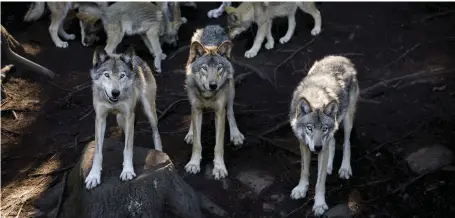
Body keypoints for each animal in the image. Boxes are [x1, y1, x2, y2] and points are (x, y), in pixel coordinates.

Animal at [85, 46, 164, 189]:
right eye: (107, 75)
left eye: (122, 76)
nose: (115, 92)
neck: (112, 102)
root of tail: (136, 58)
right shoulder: (100, 118)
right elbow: (98, 152)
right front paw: (94, 176)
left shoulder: (129, 116)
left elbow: (127, 149)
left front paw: (127, 171)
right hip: (120, 119)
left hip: (149, 111)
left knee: (155, 132)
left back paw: (159, 152)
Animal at [183, 24, 246, 180]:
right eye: (204, 68)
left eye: (219, 68)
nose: (213, 85)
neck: (207, 96)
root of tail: (212, 26)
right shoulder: (197, 109)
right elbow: (197, 143)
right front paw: (193, 164)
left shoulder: (219, 112)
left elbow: (218, 146)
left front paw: (219, 168)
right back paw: (190, 134)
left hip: (231, 90)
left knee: (230, 112)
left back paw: (235, 135)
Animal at [288, 55, 360, 215]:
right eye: (309, 128)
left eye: (324, 128)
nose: (317, 148)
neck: (315, 99)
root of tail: (341, 57)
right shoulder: (304, 144)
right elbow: (304, 171)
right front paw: (301, 189)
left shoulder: (323, 142)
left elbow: (320, 182)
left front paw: (319, 204)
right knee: (332, 143)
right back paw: (328, 166)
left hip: (347, 119)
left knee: (346, 142)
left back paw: (345, 168)